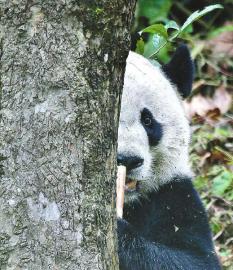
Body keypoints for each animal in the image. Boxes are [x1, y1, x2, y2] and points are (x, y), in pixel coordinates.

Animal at [117, 44, 221, 270]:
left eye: (148, 120)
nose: (128, 160)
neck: (130, 203)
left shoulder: (174, 194)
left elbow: (198, 259)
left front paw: (117, 231)